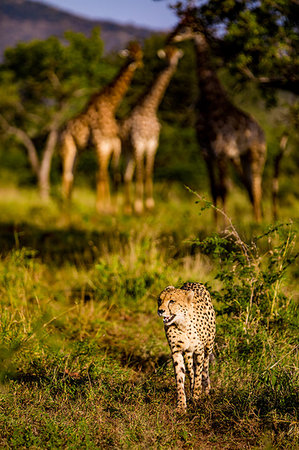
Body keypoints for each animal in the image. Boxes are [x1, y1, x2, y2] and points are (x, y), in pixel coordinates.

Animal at [60, 41, 143, 212]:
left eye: (140, 53)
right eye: (130, 54)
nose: (139, 63)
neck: (110, 106)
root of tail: (61, 130)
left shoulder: (112, 144)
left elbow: (109, 174)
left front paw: (107, 207)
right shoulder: (101, 143)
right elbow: (101, 174)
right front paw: (100, 208)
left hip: (78, 150)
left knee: (71, 174)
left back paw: (69, 205)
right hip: (67, 146)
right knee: (66, 173)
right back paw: (64, 206)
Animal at [120, 46, 184, 214]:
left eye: (176, 56)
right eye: (166, 56)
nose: (171, 65)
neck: (148, 110)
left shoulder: (153, 144)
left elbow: (149, 171)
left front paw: (149, 204)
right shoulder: (139, 142)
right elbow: (141, 173)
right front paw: (138, 206)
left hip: (131, 151)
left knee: (127, 174)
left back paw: (127, 207)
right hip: (126, 149)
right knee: (127, 174)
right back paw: (128, 208)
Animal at [158, 284, 217, 414]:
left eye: (172, 301)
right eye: (160, 300)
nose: (160, 310)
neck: (182, 324)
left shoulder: (199, 350)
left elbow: (199, 373)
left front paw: (196, 396)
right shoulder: (177, 351)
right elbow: (180, 378)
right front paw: (181, 405)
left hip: (208, 346)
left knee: (205, 367)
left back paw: (205, 389)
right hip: (188, 353)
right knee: (191, 371)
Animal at [169, 14, 268, 223]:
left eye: (186, 27)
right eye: (178, 23)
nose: (171, 38)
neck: (211, 102)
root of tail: (261, 131)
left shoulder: (221, 152)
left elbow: (224, 189)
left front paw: (223, 224)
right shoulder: (207, 153)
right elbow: (214, 189)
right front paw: (214, 223)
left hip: (257, 154)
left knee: (256, 186)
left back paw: (258, 222)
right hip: (241, 157)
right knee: (250, 186)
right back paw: (257, 219)